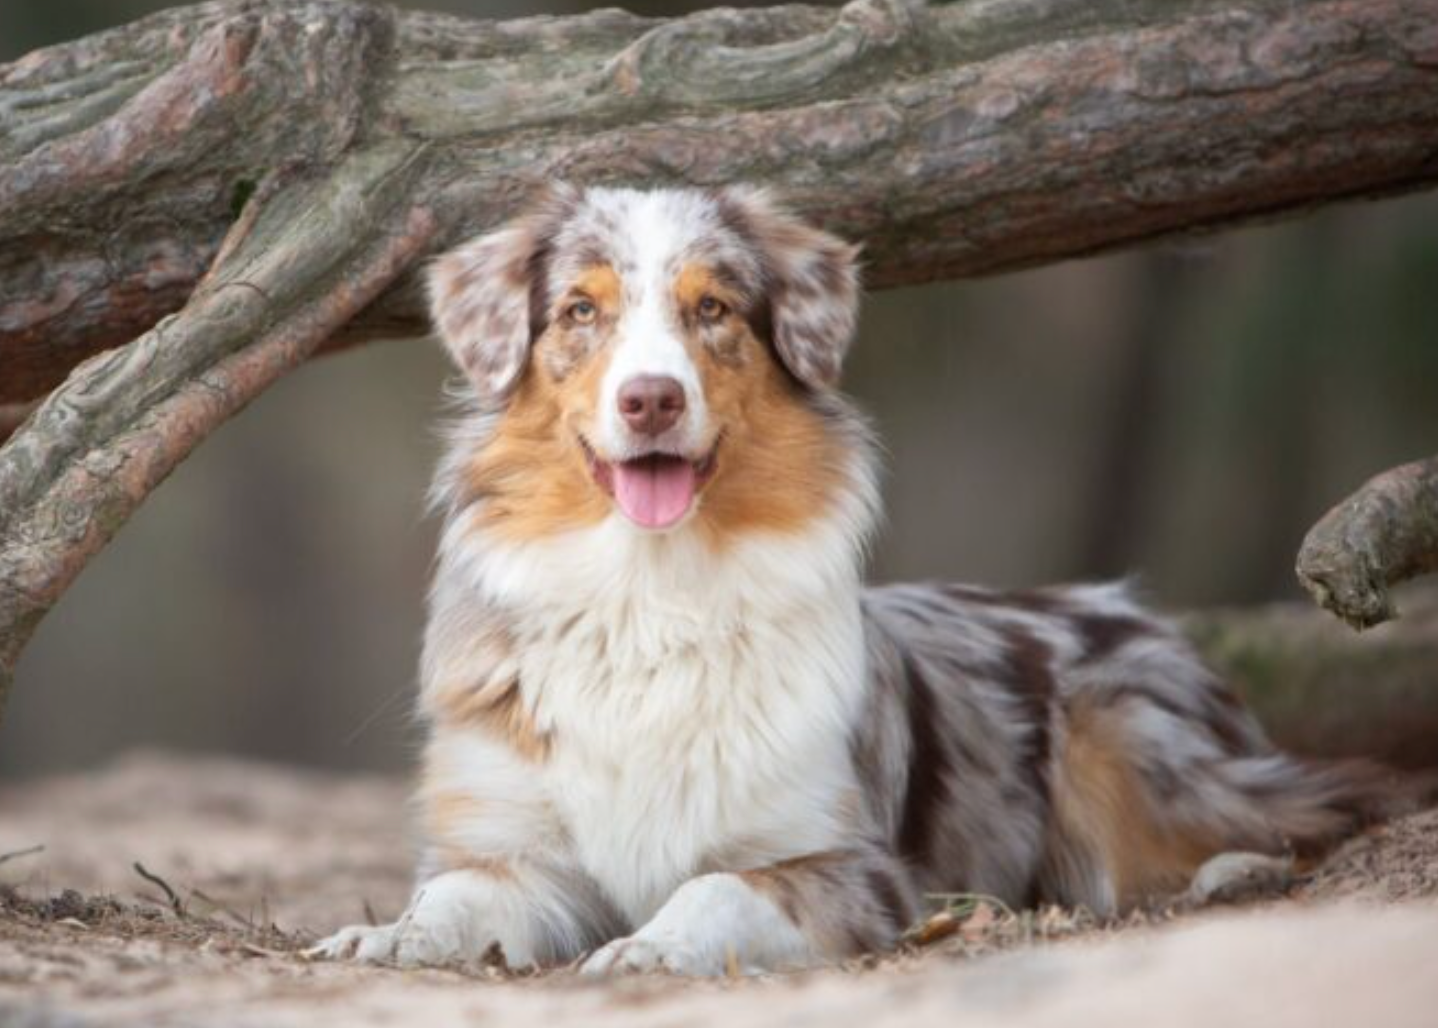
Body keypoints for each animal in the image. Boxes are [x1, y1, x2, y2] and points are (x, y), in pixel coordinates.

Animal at [309, 186, 1386, 983]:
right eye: (582, 309)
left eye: (712, 309)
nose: (651, 398)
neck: (650, 595)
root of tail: (1128, 609)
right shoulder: (515, 845)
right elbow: (456, 896)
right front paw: (392, 933)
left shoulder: (847, 864)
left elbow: (717, 886)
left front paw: (653, 942)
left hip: (1122, 739)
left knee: (1308, 807)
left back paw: (1233, 869)